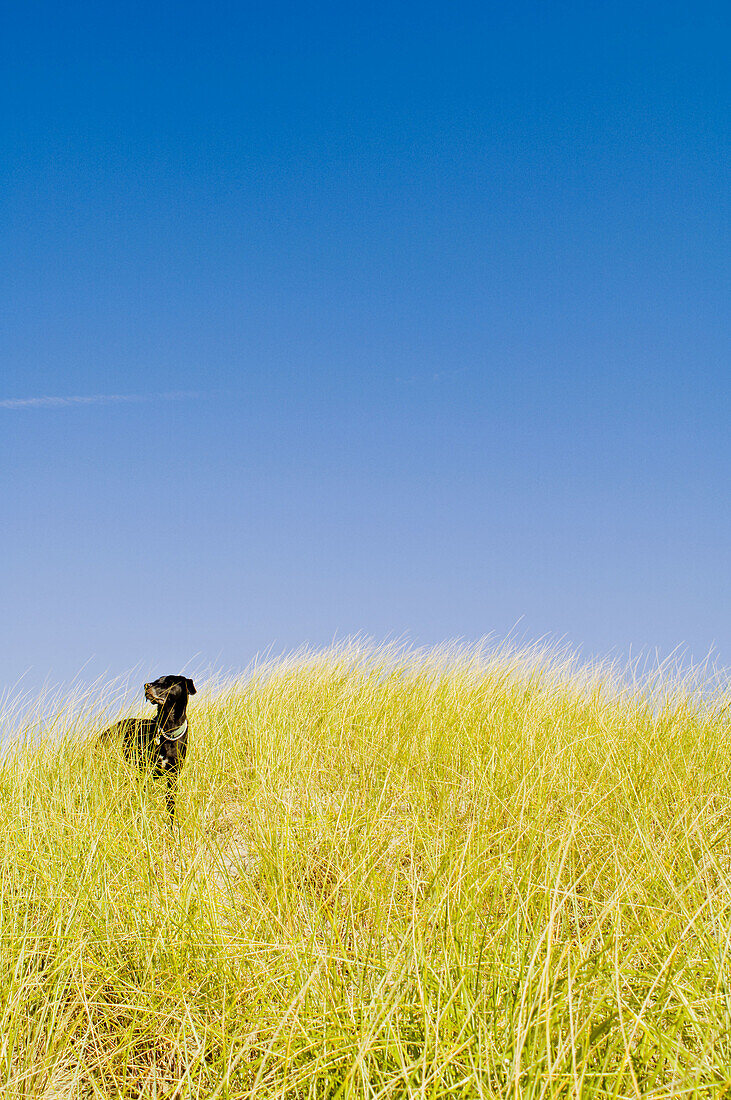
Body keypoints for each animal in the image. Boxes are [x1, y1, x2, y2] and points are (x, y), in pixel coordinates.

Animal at [101, 673, 196, 822]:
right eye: (156, 680)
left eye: (169, 682)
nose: (146, 685)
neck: (168, 729)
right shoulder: (144, 773)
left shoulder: (173, 776)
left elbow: (171, 806)